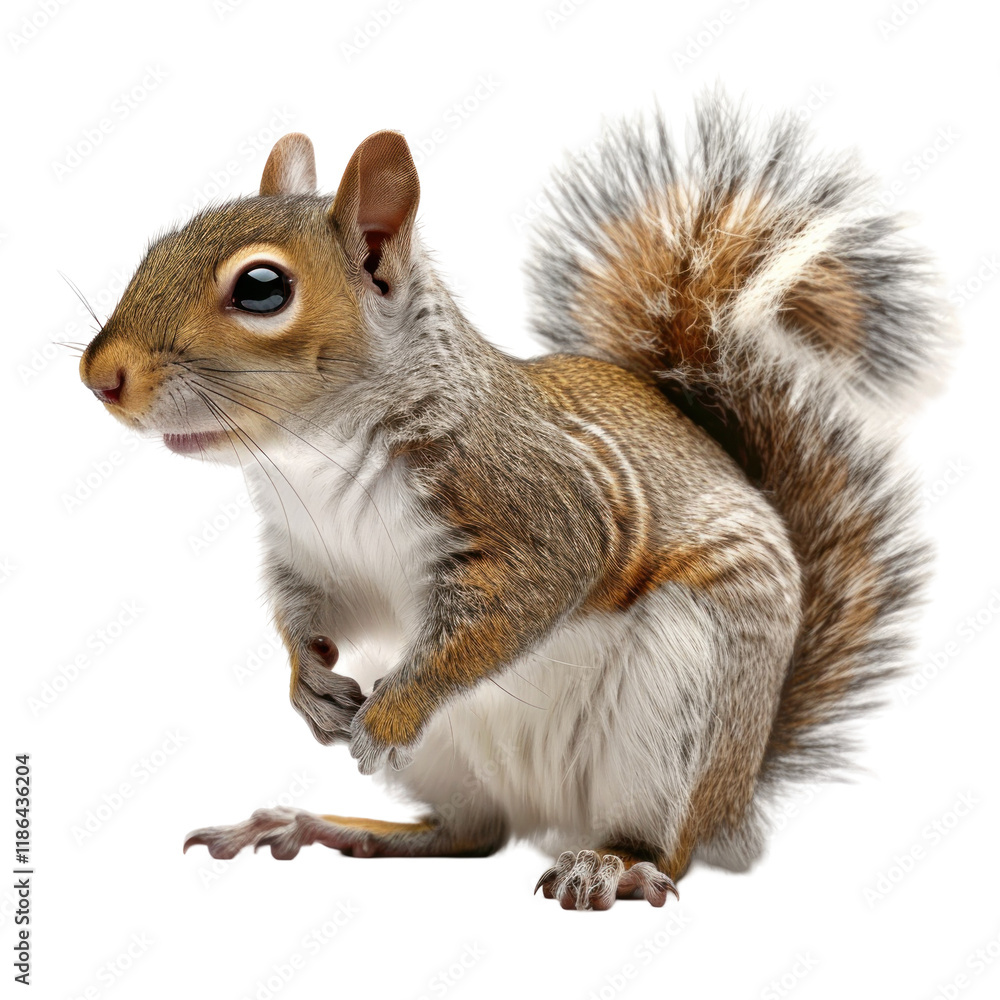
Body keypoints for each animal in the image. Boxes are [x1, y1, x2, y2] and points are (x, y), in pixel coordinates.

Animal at [79, 96, 942, 910]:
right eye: (155, 249)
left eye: (262, 288)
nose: (99, 377)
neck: (315, 463)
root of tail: (738, 800)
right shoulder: (316, 558)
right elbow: (307, 614)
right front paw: (306, 685)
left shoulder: (539, 510)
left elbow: (496, 623)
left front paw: (389, 714)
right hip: (454, 763)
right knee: (469, 834)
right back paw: (327, 825)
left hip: (683, 707)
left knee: (664, 848)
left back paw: (613, 865)